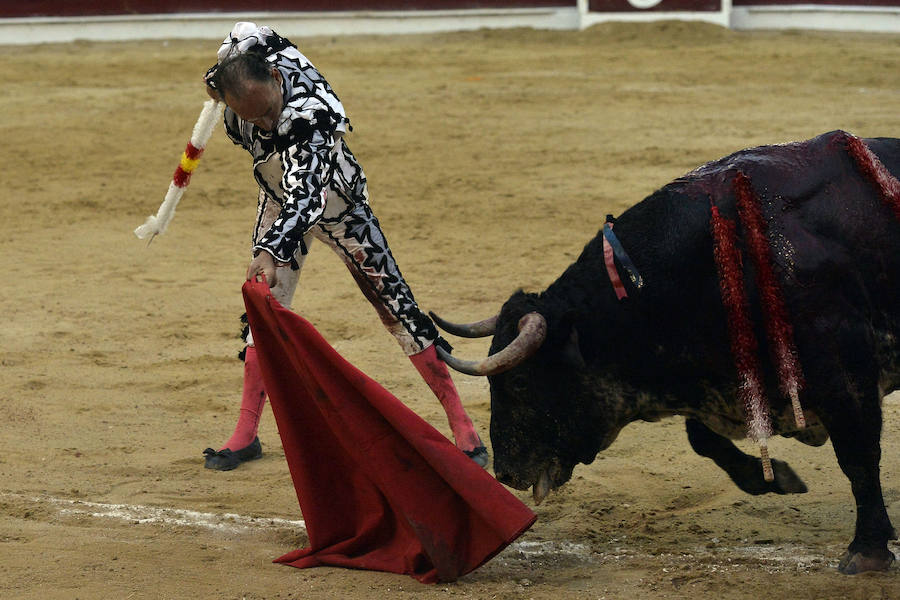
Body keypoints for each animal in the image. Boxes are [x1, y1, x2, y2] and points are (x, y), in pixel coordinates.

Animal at [432, 132, 900, 576]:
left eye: (521, 381)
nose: (506, 473)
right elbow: (701, 438)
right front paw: (778, 479)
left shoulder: (846, 375)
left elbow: (858, 459)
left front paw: (868, 551)